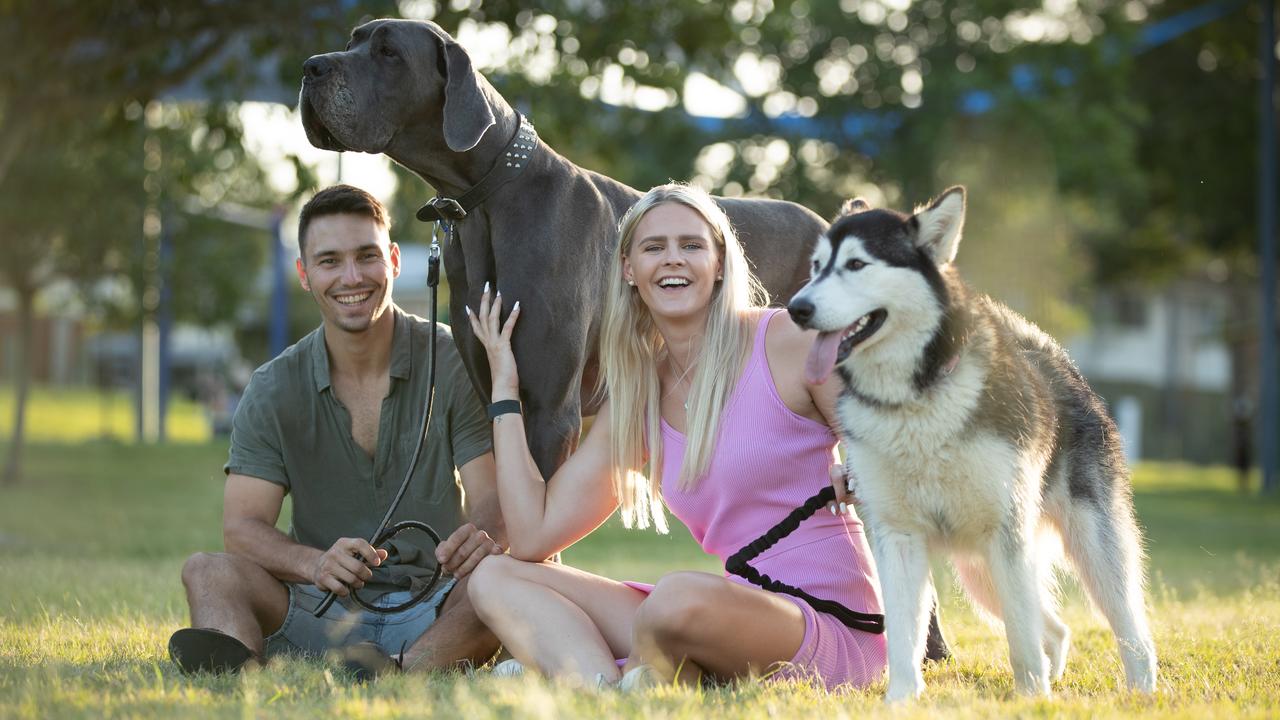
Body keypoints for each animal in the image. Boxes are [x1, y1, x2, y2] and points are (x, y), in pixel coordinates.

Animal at [788, 185, 1162, 702]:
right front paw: (900, 701)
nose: (796, 309)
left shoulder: (1004, 530)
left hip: (1085, 546)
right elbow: (903, 634)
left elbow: (1021, 639)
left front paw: (1033, 701)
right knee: (1056, 629)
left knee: (1127, 624)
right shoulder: (898, 537)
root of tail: (1051, 357)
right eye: (816, 266)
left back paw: (1140, 690)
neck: (917, 399)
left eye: (857, 264)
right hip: (981, 569)